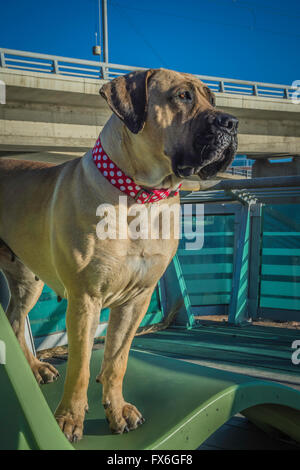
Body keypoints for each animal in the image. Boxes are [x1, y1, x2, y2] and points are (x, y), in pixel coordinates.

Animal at [0, 68, 239, 442]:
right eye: (182, 96)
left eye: (211, 98)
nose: (232, 122)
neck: (140, 195)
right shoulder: (85, 299)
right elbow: (81, 367)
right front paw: (69, 419)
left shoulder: (137, 299)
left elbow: (117, 360)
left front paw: (116, 409)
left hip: (28, 279)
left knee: (14, 318)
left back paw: (36, 368)